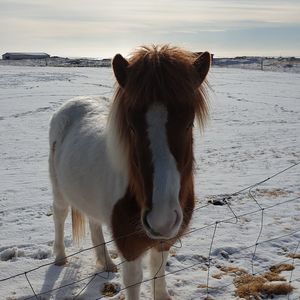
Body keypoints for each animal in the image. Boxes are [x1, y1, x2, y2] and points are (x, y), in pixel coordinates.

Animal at [48, 45, 211, 300]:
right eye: (131, 127)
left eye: (188, 124)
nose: (162, 219)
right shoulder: (130, 248)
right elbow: (133, 282)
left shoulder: (164, 242)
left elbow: (158, 275)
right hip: (59, 190)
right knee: (59, 214)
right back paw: (60, 257)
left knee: (94, 222)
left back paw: (105, 262)